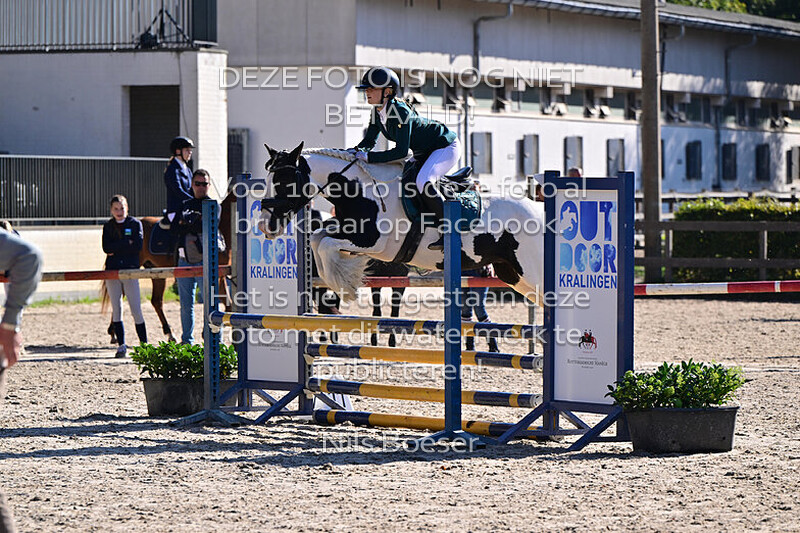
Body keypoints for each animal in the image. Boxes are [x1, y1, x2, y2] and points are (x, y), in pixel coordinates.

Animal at [103, 192, 234, 343]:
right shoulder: (217, 275)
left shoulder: (221, 274)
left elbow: (227, 302)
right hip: (129, 271)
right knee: (122, 296)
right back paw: (114, 332)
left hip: (156, 273)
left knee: (156, 301)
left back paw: (168, 333)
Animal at [258, 142, 545, 304]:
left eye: (284, 182)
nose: (264, 226)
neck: (360, 190)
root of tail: (541, 214)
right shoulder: (348, 231)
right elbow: (319, 240)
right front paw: (344, 277)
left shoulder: (374, 244)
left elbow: (326, 244)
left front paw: (346, 287)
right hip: (512, 274)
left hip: (532, 272)